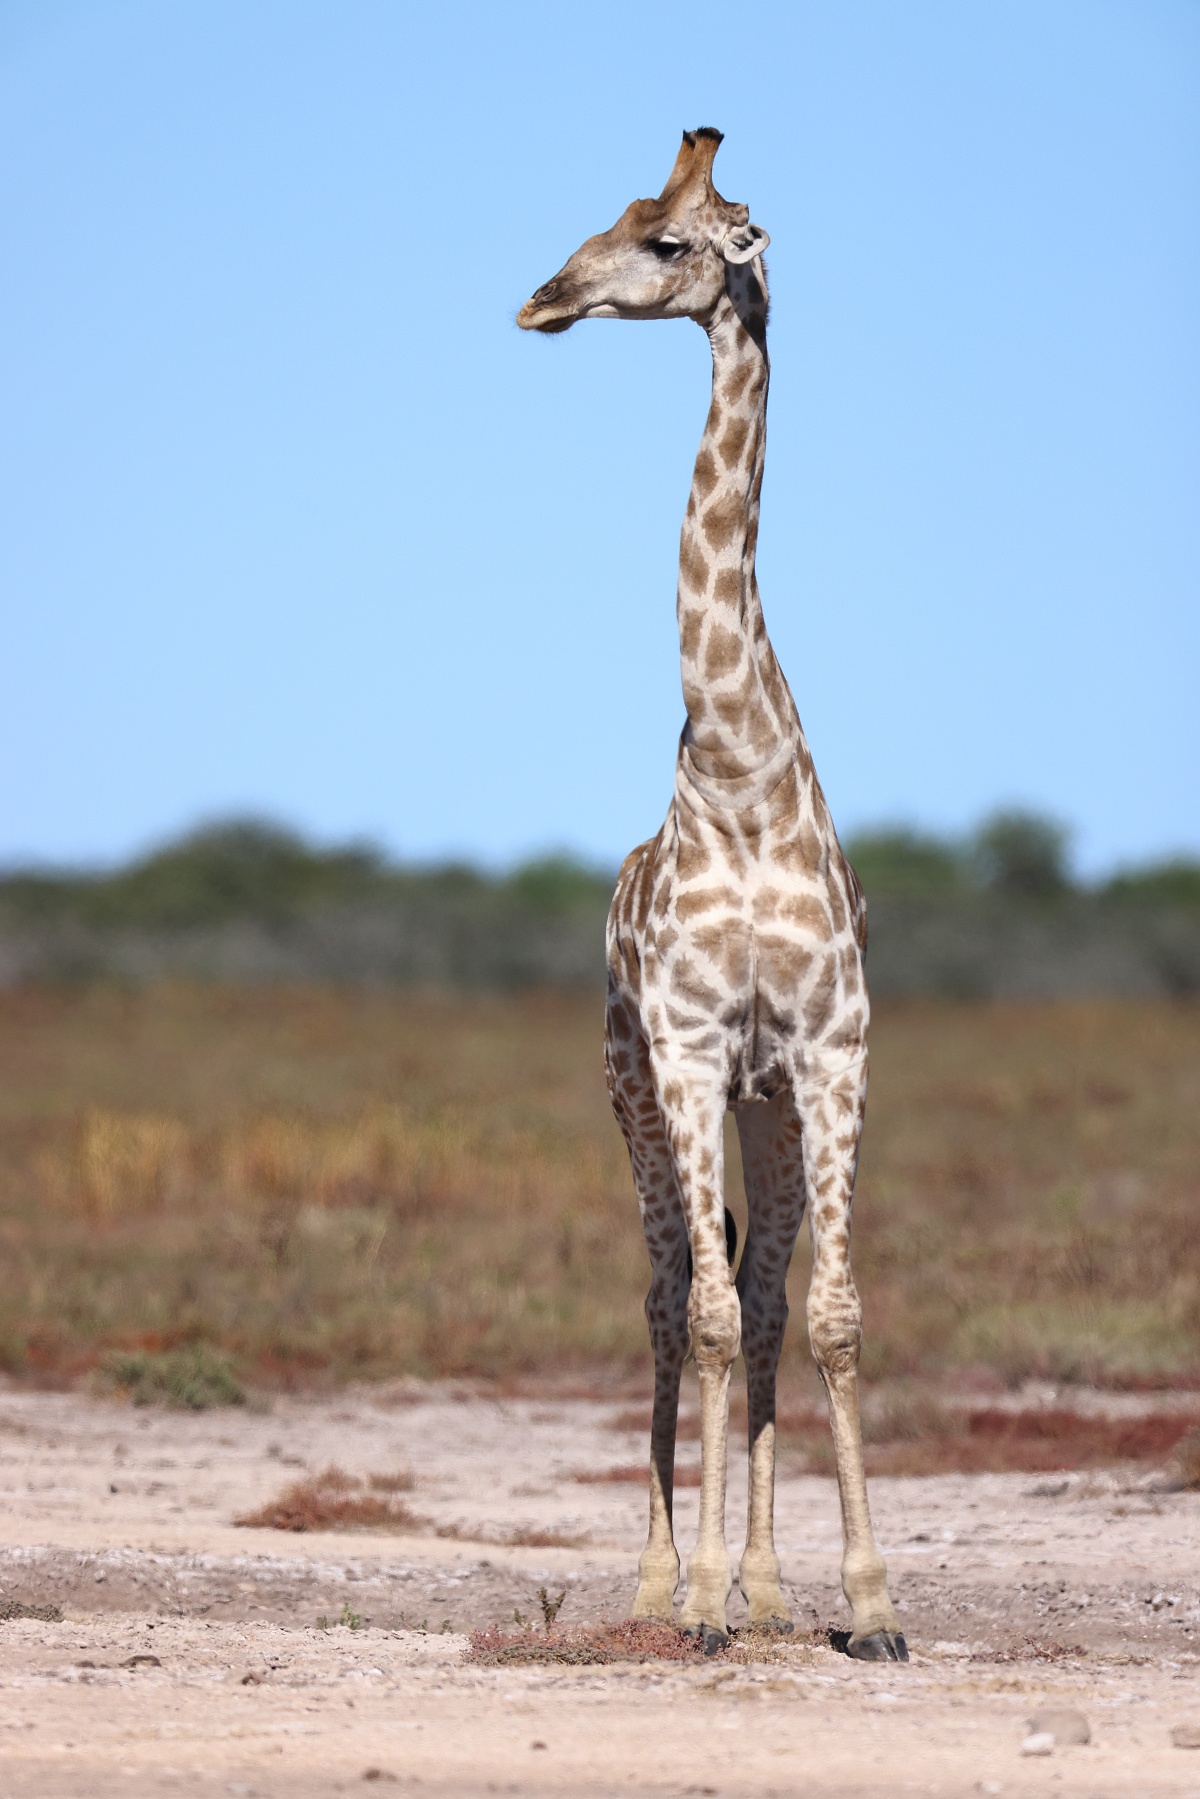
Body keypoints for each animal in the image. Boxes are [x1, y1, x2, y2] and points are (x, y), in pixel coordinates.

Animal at [518, 128, 906, 1663]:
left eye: (673, 241)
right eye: (624, 215)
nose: (546, 299)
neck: (739, 765)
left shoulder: (828, 1051)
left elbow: (830, 1314)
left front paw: (866, 1600)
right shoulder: (684, 1047)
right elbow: (707, 1316)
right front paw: (691, 1606)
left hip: (767, 1105)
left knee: (757, 1289)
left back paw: (767, 1585)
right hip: (631, 1085)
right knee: (671, 1290)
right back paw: (659, 1585)